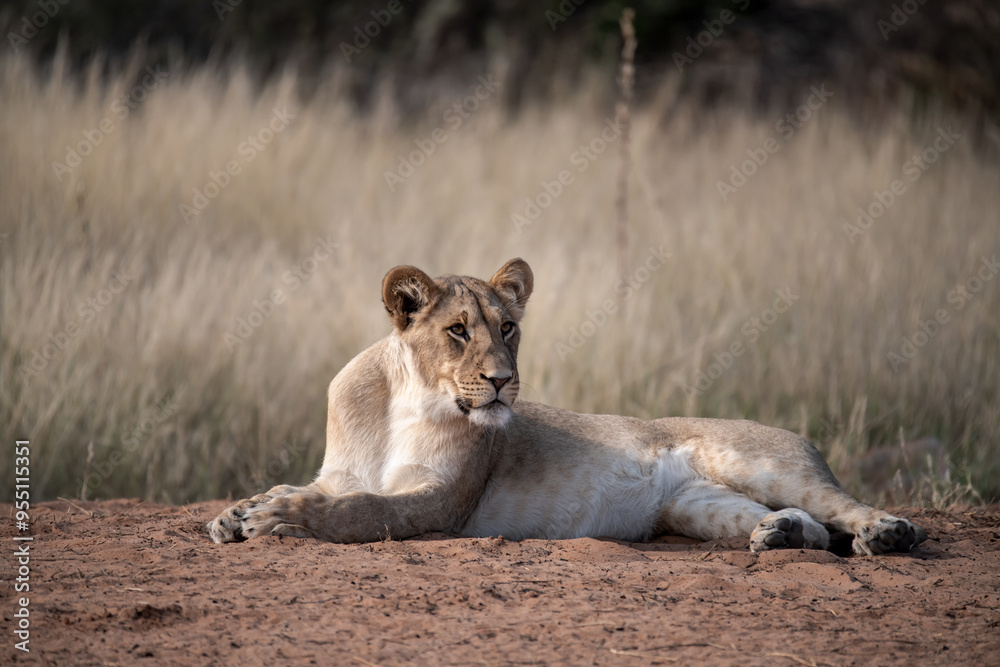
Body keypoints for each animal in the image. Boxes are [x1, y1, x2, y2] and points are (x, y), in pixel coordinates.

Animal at [208, 258, 926, 556]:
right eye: (458, 331)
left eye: (508, 327)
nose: (502, 381)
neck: (403, 400)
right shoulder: (341, 472)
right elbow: (316, 488)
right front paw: (237, 512)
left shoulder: (440, 500)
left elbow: (360, 510)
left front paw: (280, 519)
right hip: (697, 506)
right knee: (808, 527)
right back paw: (778, 536)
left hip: (761, 462)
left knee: (845, 508)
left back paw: (888, 534)